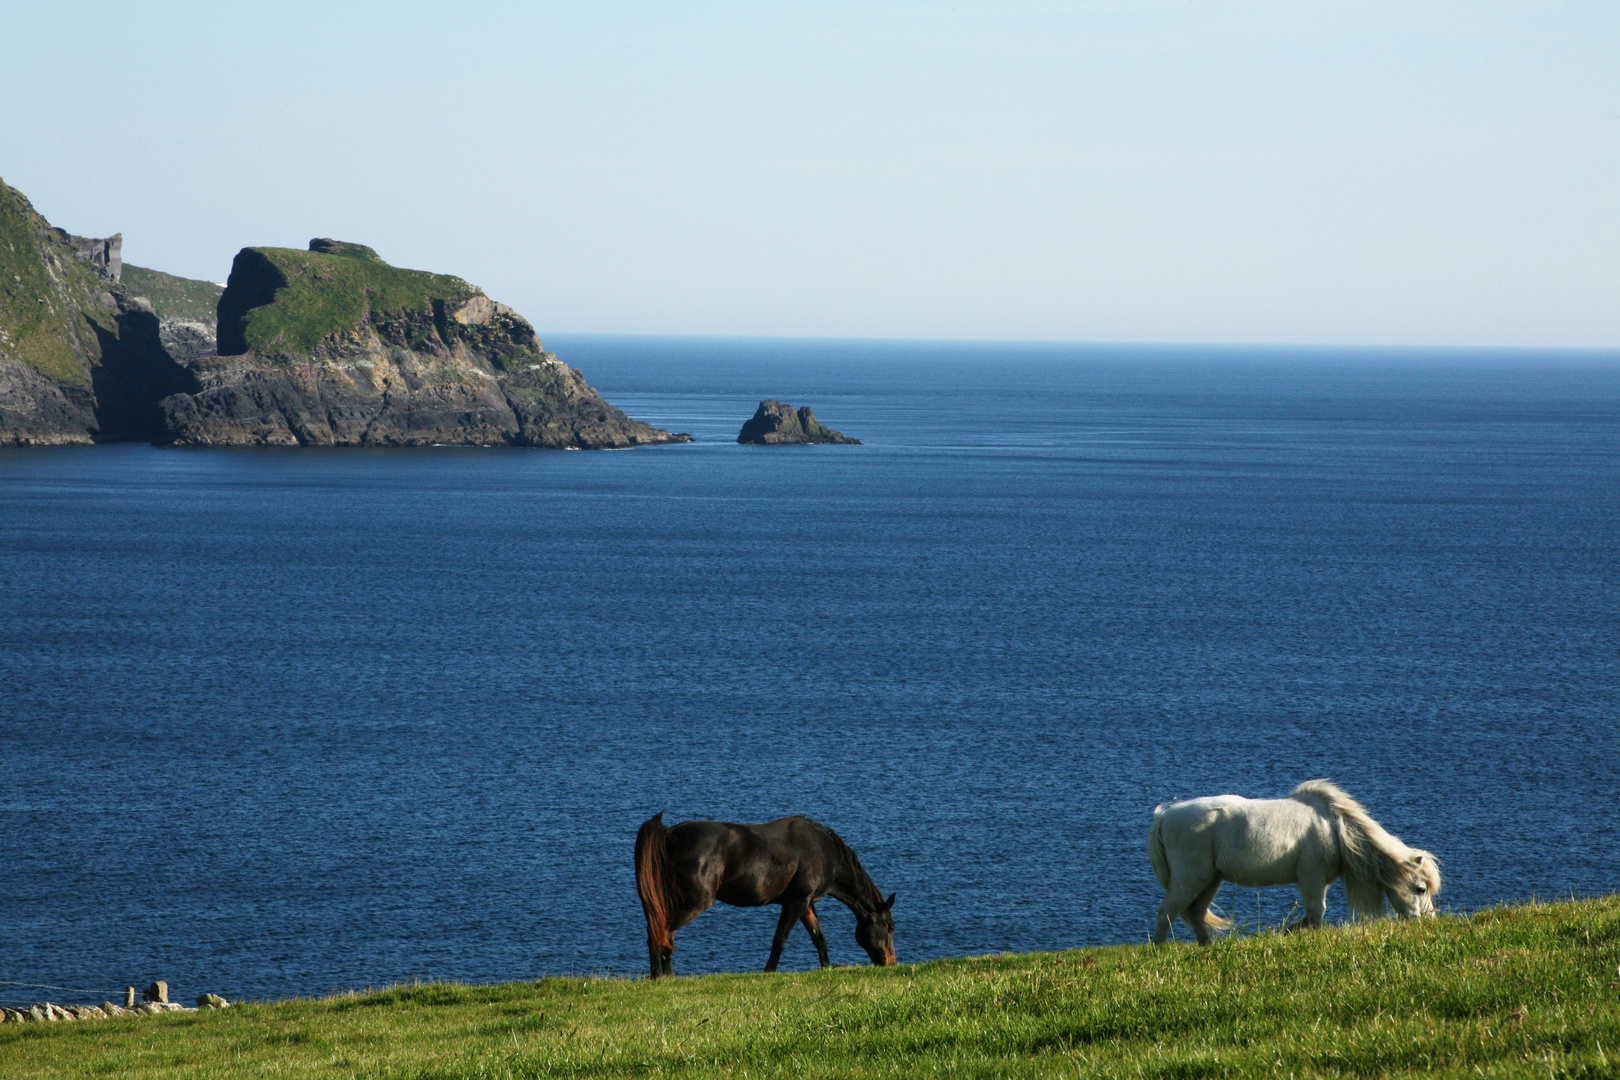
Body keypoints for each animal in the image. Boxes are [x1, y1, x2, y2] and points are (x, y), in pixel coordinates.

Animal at [635, 809, 900, 977]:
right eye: (889, 927)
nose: (891, 962)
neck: (824, 853)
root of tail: (670, 835)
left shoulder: (806, 903)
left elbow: (819, 938)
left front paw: (826, 968)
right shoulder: (795, 902)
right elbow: (780, 939)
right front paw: (768, 972)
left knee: (660, 932)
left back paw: (661, 975)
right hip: (694, 901)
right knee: (663, 932)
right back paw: (661, 975)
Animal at [1146, 780, 1438, 939]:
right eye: (1420, 888)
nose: (1428, 922)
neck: (1334, 826)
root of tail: (1164, 816)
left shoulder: (1316, 882)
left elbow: (1308, 917)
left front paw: (1286, 932)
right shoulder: (1311, 879)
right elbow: (1317, 913)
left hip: (1210, 880)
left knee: (1195, 913)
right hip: (1190, 878)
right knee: (1167, 912)